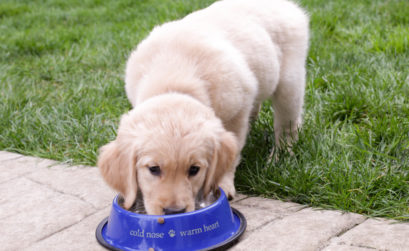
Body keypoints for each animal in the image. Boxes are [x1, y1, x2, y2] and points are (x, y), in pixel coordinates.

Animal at [97, 0, 308, 216]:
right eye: (153, 169)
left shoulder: (236, 112)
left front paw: (223, 184)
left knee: (287, 124)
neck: (173, 79)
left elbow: (232, 152)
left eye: (194, 170)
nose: (174, 212)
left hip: (289, 81)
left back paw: (279, 157)